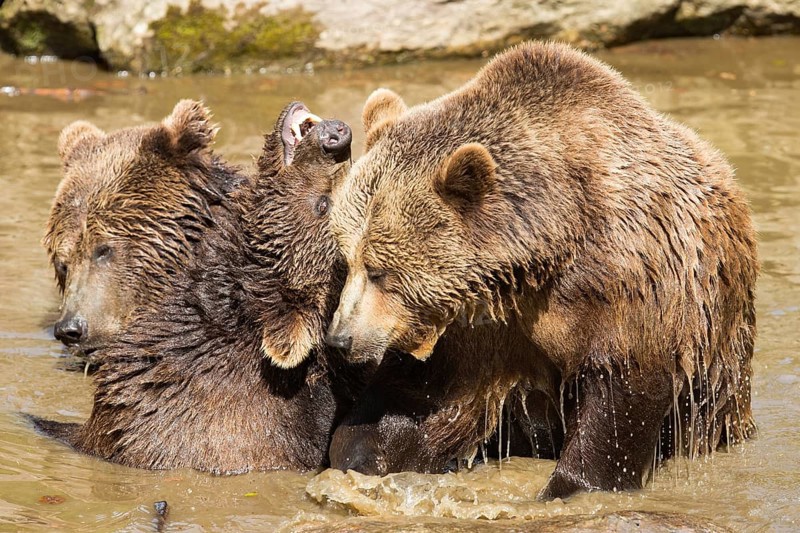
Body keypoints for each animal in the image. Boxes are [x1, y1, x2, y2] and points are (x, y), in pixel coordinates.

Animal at [323, 42, 758, 499]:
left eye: (380, 271)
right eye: (347, 260)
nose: (340, 338)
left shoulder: (623, 287)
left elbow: (619, 393)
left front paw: (572, 484)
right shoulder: (475, 328)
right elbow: (422, 399)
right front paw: (362, 452)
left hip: (719, 352)